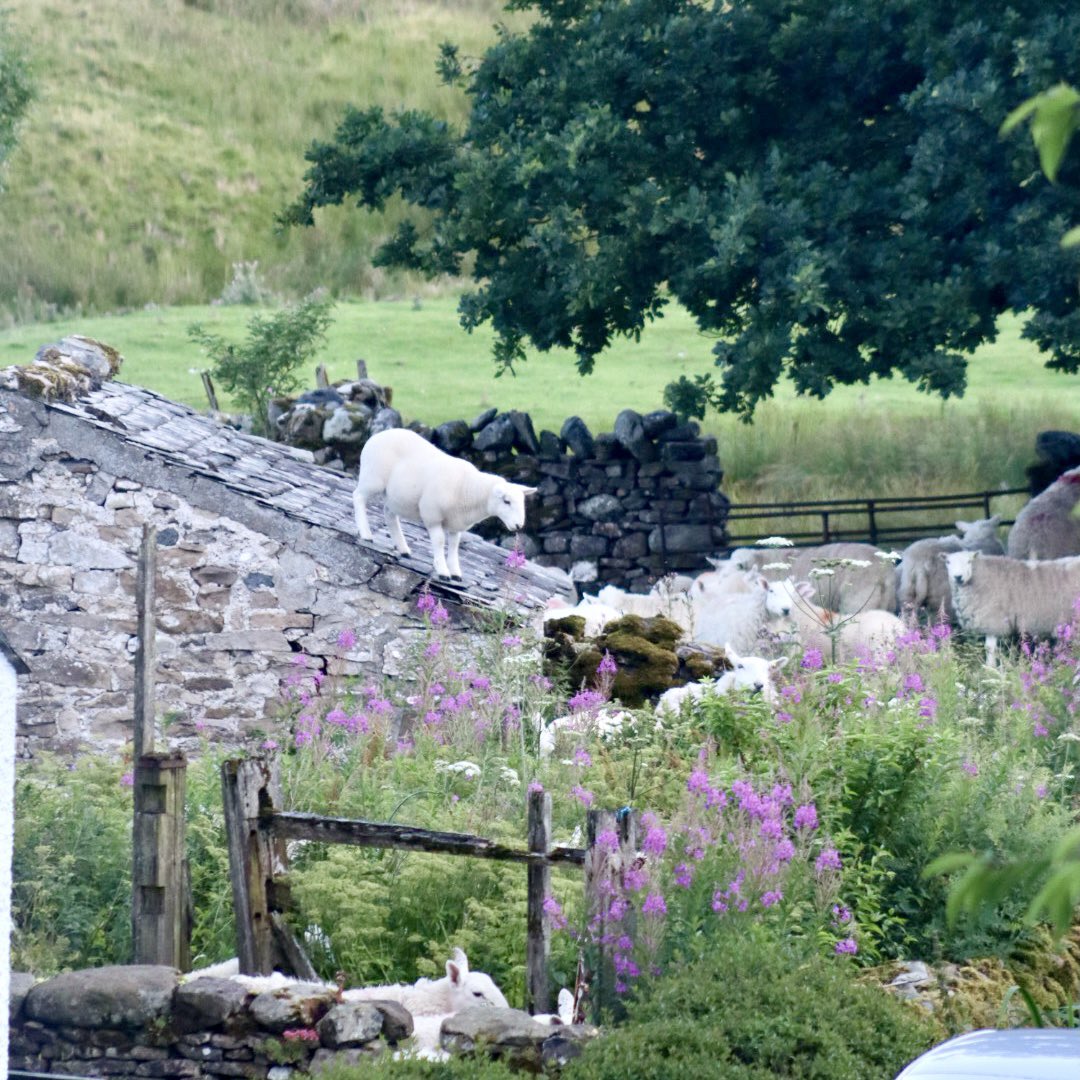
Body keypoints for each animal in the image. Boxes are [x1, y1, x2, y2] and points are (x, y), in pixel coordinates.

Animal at [354, 428, 537, 580]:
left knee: (389, 514)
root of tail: (378, 435)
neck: (468, 488)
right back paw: (366, 534)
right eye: (507, 501)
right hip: (373, 478)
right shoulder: (432, 515)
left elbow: (454, 546)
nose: (519, 525)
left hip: (396, 497)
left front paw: (455, 572)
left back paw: (403, 548)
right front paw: (443, 571)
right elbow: (440, 541)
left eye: (522, 502)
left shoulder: (456, 524)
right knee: (358, 497)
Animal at [944, 549, 1080, 661]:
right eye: (948, 562)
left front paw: (990, 669)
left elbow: (990, 648)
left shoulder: (994, 621)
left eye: (969, 561)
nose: (958, 577)